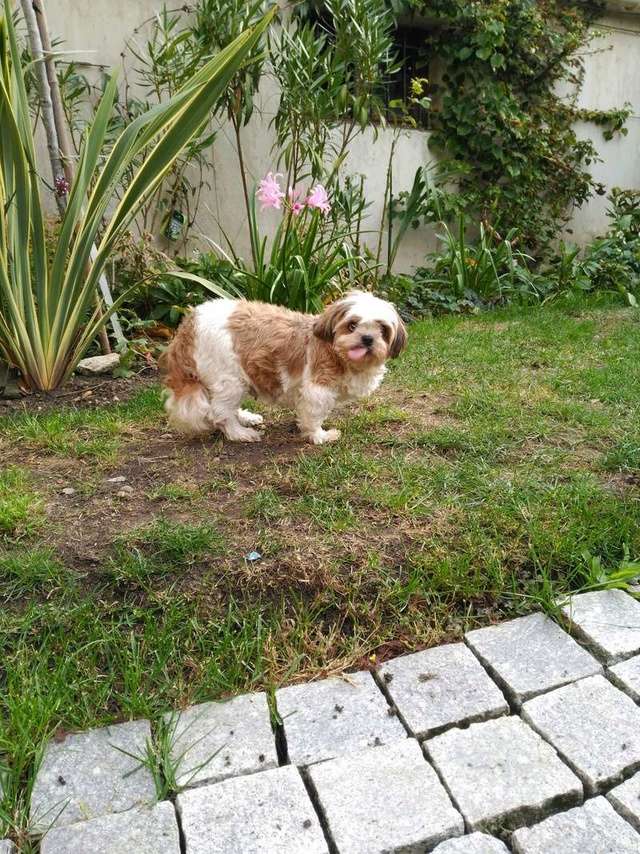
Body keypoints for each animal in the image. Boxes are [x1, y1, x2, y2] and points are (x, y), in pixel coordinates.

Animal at [162, 290, 408, 444]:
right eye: (352, 325)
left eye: (383, 329)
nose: (367, 338)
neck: (338, 353)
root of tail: (188, 324)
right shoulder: (317, 390)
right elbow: (313, 416)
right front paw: (320, 436)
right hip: (229, 378)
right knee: (220, 412)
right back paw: (239, 432)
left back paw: (245, 417)